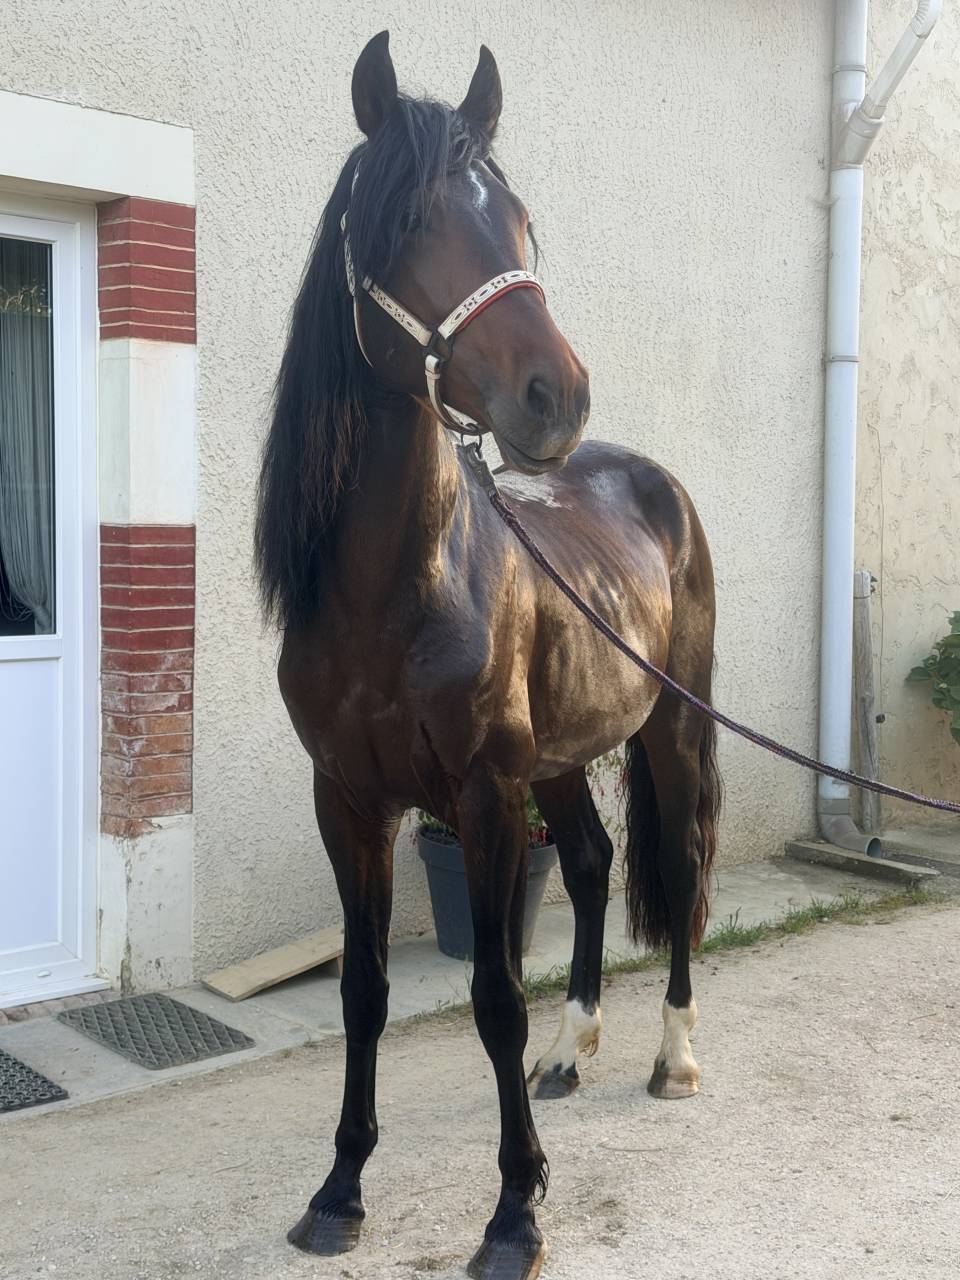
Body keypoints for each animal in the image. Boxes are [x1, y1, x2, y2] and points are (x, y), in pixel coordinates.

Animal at [256, 31, 721, 1280]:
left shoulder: (479, 790)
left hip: (670, 725)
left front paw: (515, 1213)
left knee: (680, 868)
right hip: (559, 758)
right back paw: (573, 1050)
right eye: (409, 218)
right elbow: (364, 989)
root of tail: (649, 478)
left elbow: (494, 992)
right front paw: (338, 1191)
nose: (554, 395)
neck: (397, 591)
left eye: (516, 220)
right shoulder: (349, 799)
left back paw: (672, 1057)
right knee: (601, 861)